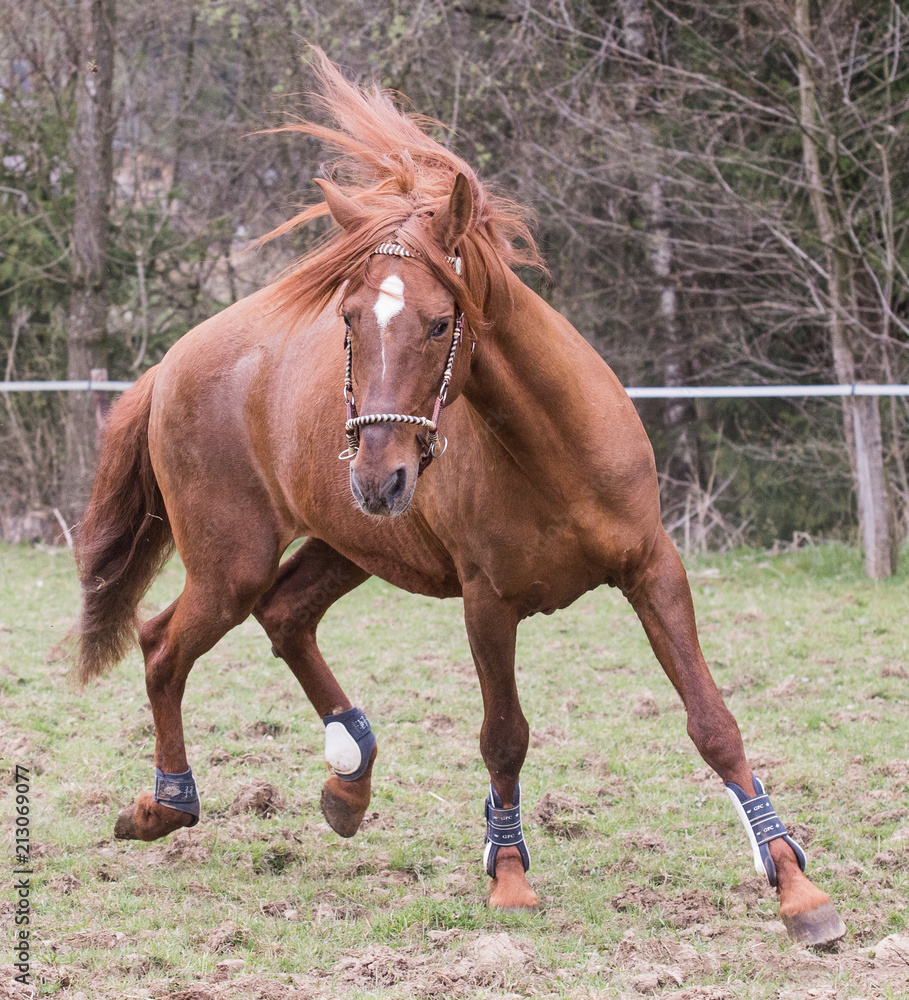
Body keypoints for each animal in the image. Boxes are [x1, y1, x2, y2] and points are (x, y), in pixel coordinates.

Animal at [73, 50, 845, 947]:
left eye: (441, 323)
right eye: (347, 320)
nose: (378, 477)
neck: (551, 451)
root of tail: (172, 364)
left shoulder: (653, 569)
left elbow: (711, 721)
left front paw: (794, 884)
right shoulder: (487, 602)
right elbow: (503, 736)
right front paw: (508, 874)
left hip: (347, 545)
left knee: (285, 614)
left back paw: (348, 780)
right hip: (235, 559)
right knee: (166, 643)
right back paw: (165, 806)